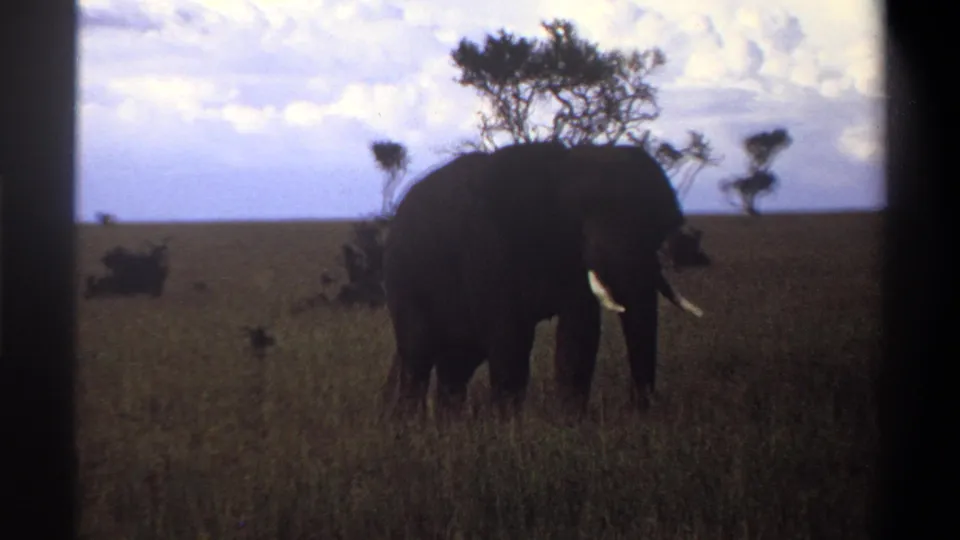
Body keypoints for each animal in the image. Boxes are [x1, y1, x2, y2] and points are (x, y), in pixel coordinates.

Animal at [380, 141, 704, 420]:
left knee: (457, 364)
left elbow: (580, 333)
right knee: (418, 354)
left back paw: (449, 428)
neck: (566, 171)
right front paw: (509, 428)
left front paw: (570, 423)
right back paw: (411, 426)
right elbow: (510, 337)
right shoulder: (490, 245)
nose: (640, 411)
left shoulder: (573, 260)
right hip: (404, 277)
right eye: (586, 223)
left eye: (659, 230)